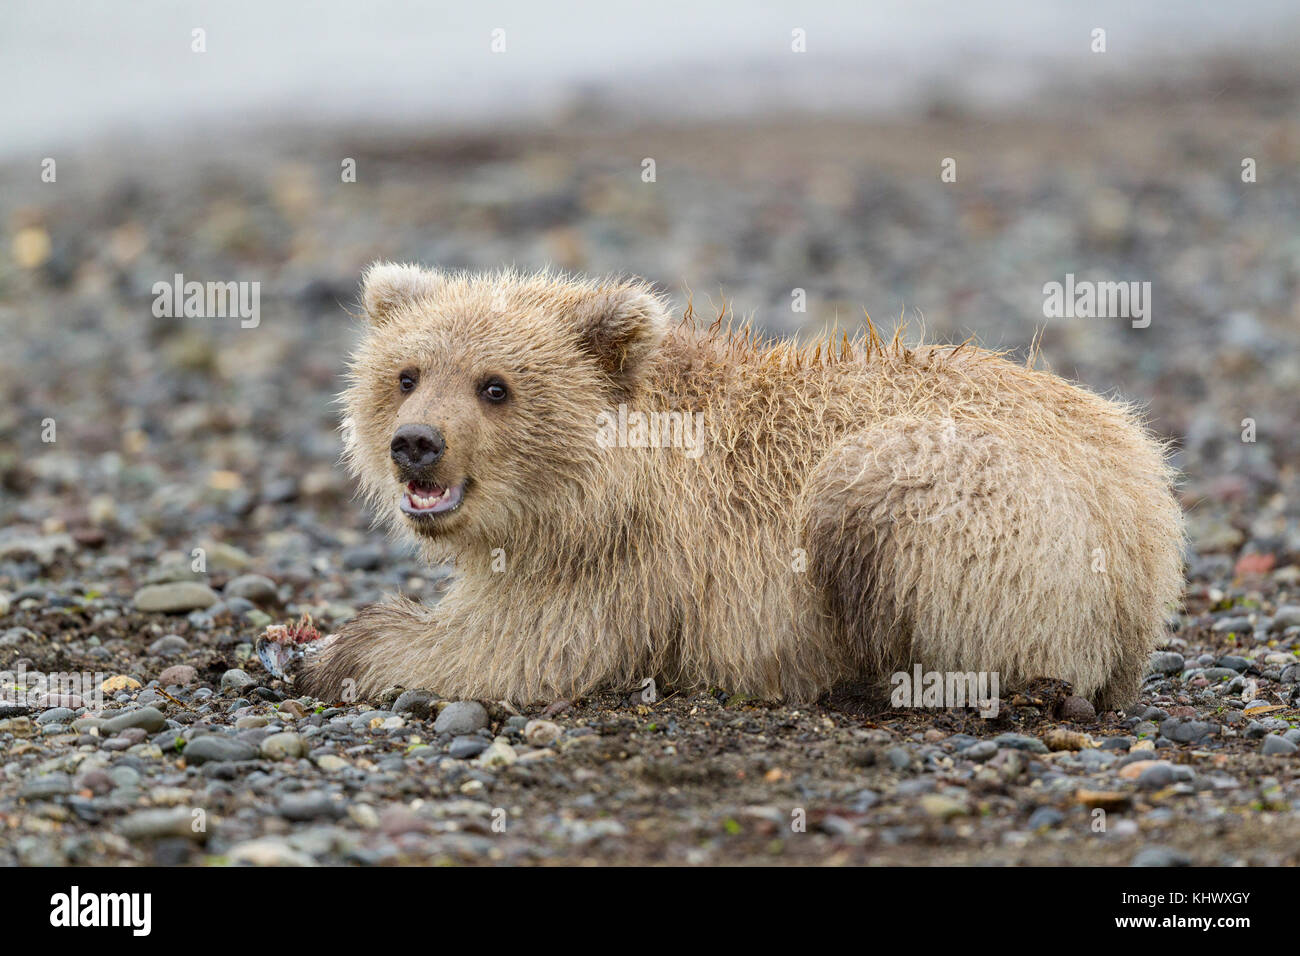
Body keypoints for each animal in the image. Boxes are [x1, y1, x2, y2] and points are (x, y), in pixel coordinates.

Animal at [298, 262, 1184, 712]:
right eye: (406, 374)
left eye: (495, 386)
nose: (416, 444)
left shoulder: (630, 558)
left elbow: (519, 650)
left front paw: (338, 648)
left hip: (993, 516)